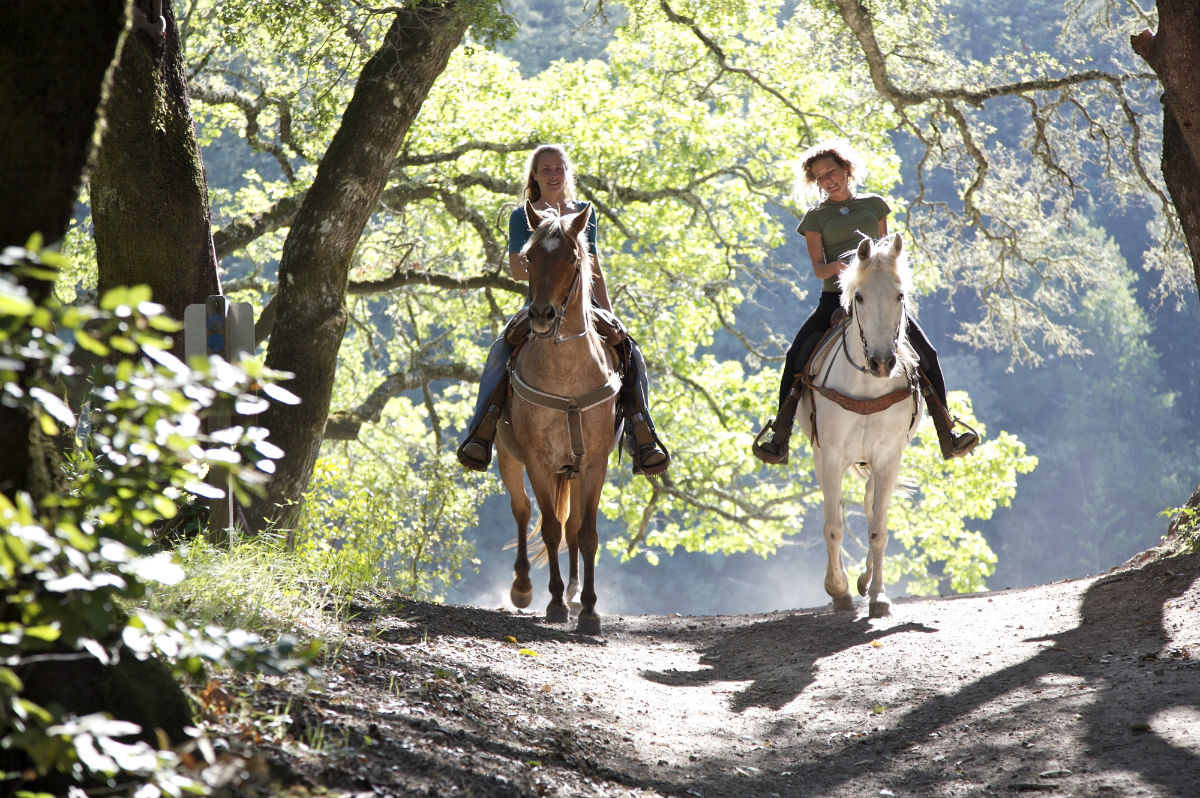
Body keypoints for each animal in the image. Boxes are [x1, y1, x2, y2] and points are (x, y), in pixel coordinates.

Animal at [492, 199, 619, 633]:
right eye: (529, 257)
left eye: (573, 257)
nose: (543, 316)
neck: (567, 380)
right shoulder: (538, 461)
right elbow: (548, 527)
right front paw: (554, 603)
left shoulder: (594, 463)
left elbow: (588, 533)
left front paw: (590, 609)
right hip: (508, 458)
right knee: (522, 510)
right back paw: (523, 587)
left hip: (573, 470)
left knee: (574, 527)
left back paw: (576, 596)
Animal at [801, 234, 921, 619]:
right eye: (860, 297)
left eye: (899, 295)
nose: (882, 363)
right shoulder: (829, 456)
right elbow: (833, 527)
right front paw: (837, 590)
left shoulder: (888, 459)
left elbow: (878, 529)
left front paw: (879, 596)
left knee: (869, 507)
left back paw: (866, 581)